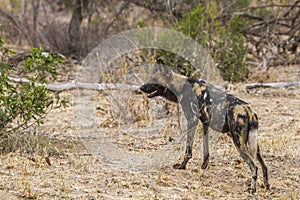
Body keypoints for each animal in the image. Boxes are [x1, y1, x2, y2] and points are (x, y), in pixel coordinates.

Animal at [141, 63, 270, 192]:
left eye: (154, 81)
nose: (141, 88)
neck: (181, 86)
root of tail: (249, 111)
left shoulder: (192, 121)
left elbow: (188, 149)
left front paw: (182, 166)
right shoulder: (205, 124)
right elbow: (206, 150)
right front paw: (204, 166)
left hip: (239, 142)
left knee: (254, 166)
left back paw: (252, 189)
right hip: (252, 143)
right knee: (264, 166)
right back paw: (266, 186)